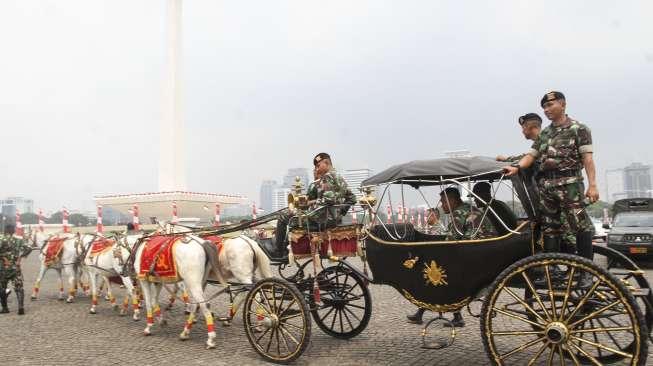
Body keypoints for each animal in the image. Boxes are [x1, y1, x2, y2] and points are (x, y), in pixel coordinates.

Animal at [134, 232, 272, 348]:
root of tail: (250, 241)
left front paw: (149, 324)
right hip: (245, 276)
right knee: (248, 294)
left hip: (240, 275)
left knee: (254, 295)